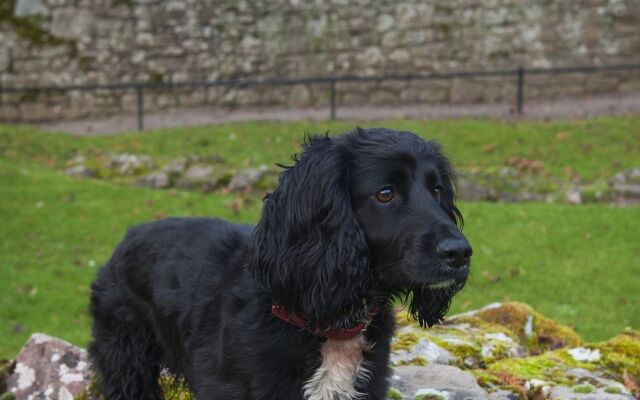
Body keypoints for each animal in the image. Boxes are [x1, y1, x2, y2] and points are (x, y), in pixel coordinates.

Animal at [89, 128, 470, 400]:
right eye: (385, 193)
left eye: (437, 190)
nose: (461, 253)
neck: (327, 321)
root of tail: (130, 234)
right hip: (126, 358)